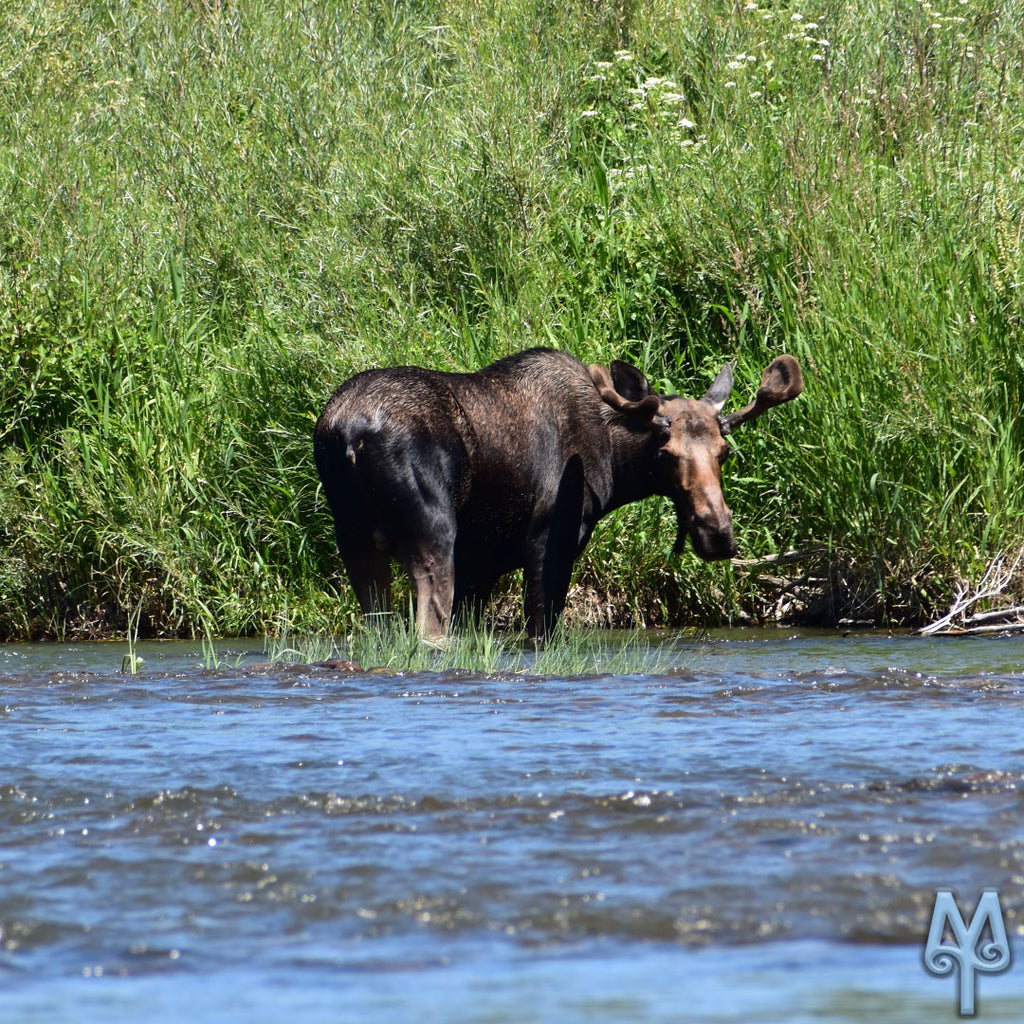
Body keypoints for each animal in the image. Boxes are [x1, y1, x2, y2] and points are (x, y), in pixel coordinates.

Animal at [311, 352, 798, 638]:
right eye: (665, 453)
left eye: (724, 451)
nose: (718, 533)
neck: (615, 461)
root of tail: (348, 434)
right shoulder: (550, 542)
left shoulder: (481, 563)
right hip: (433, 533)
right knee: (429, 629)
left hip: (353, 540)